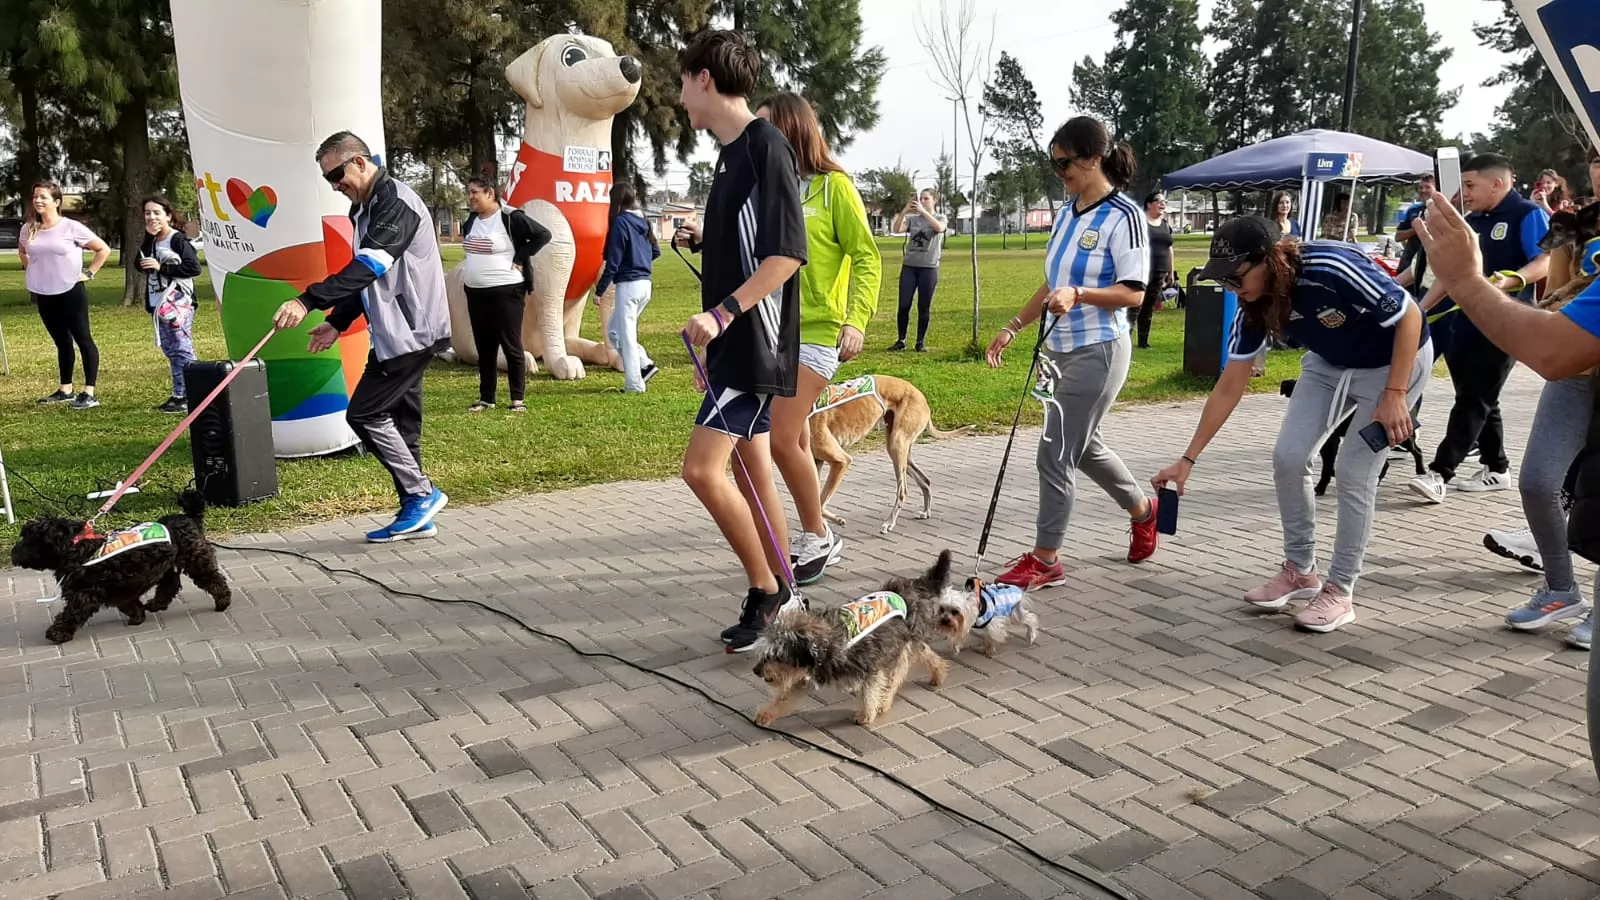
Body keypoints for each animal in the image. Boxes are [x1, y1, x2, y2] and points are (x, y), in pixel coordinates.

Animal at [9, 486, 233, 640]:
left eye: (28, 539)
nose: (12, 553)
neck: (77, 550)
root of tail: (189, 517)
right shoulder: (121, 588)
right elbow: (129, 603)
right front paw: (138, 616)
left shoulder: (84, 595)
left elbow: (71, 614)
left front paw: (58, 632)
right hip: (168, 565)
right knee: (170, 584)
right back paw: (157, 604)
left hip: (196, 560)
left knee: (213, 579)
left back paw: (223, 601)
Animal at [752, 576, 947, 723]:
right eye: (764, 653)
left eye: (777, 656)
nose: (756, 671)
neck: (823, 645)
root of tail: (906, 589)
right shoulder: (808, 674)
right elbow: (786, 696)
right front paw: (767, 713)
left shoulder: (869, 665)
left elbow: (870, 691)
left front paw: (867, 714)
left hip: (902, 643)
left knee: (904, 669)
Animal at [812, 373, 960, 531]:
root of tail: (921, 396)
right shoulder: (817, 461)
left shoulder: (841, 461)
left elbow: (819, 503)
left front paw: (833, 521)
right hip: (899, 449)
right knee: (925, 481)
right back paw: (925, 511)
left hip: (897, 446)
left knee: (903, 491)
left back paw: (890, 522)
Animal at [889, 547, 1036, 650]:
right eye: (941, 610)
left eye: (955, 611)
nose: (945, 620)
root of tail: (1017, 589)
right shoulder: (964, 621)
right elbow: (960, 633)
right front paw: (955, 646)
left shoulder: (991, 622)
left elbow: (994, 634)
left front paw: (990, 648)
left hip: (1014, 611)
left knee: (1030, 618)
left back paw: (1031, 635)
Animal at [1280, 374, 1433, 493]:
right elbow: (1328, 464)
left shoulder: (1332, 441)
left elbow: (1327, 466)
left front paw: (1321, 486)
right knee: (1386, 464)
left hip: (1402, 436)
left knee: (1417, 451)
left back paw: (1421, 470)